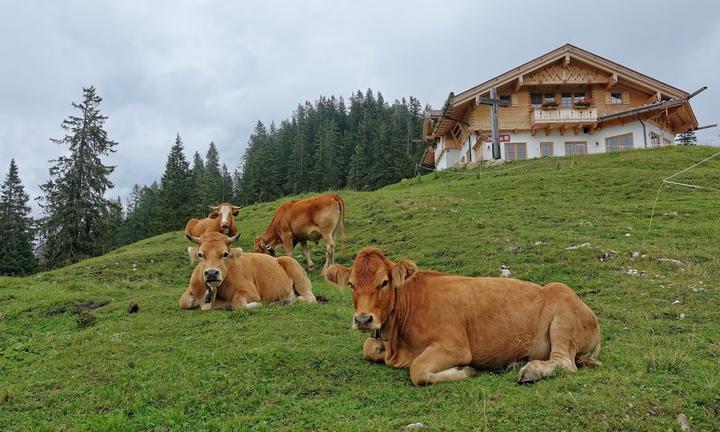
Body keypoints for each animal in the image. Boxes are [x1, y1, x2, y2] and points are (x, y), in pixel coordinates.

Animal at [179, 231, 316, 308]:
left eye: (225, 254)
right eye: (200, 254)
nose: (211, 273)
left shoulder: (250, 291)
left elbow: (237, 304)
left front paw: (258, 304)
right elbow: (183, 302)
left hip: (298, 276)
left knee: (309, 298)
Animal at [324, 248, 600, 386]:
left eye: (383, 282)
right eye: (351, 284)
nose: (363, 320)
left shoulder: (455, 346)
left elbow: (418, 370)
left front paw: (466, 371)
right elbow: (368, 347)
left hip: (563, 318)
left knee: (565, 362)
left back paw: (531, 371)